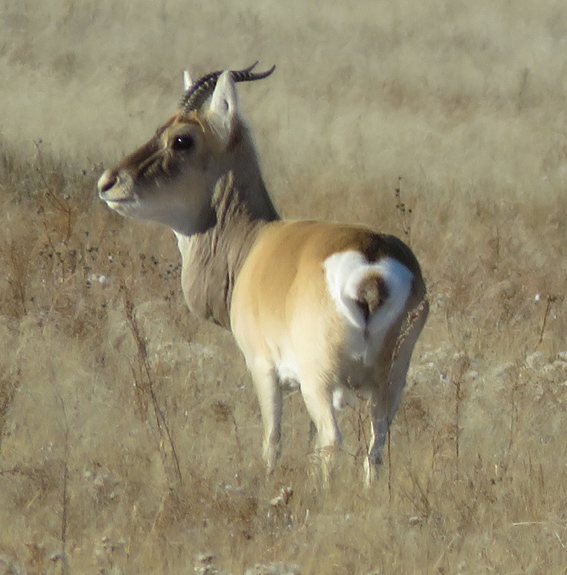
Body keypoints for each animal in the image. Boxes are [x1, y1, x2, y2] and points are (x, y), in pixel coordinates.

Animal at [97, 63, 428, 486]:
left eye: (182, 139)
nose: (108, 182)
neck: (254, 242)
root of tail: (371, 268)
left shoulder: (264, 370)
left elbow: (273, 441)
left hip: (321, 383)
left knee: (333, 441)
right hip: (389, 386)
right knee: (376, 450)